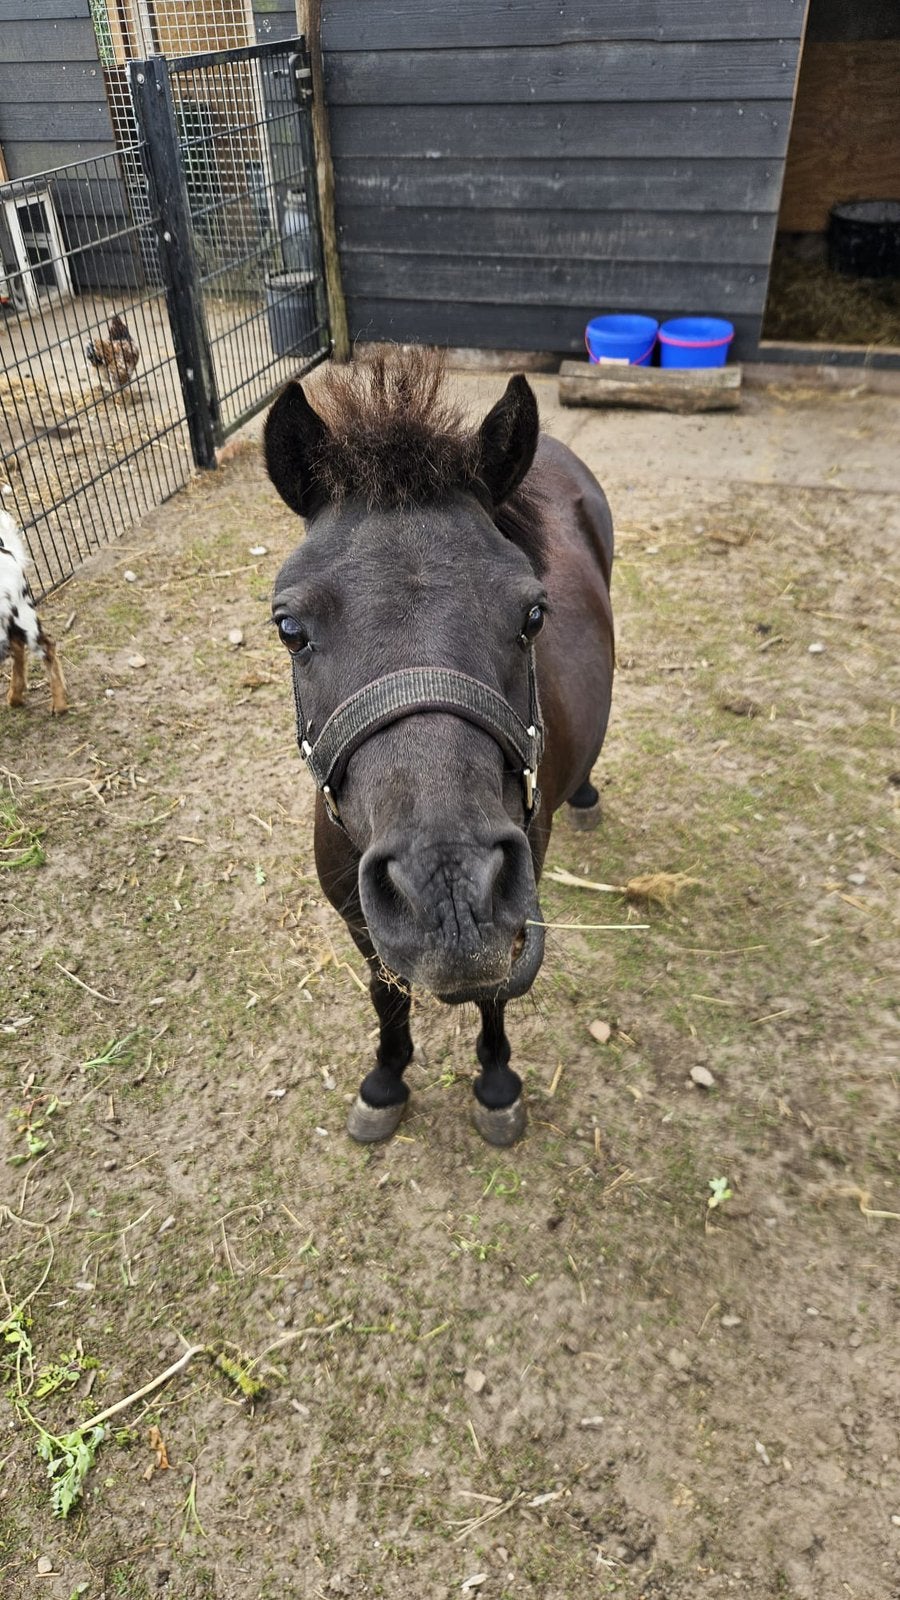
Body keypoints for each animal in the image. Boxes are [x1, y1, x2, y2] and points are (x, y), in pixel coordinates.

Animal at [265, 348, 613, 1146]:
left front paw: (496, 1084)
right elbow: (385, 994)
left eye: (534, 614)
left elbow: (493, 996)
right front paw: (386, 1081)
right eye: (289, 628)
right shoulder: (360, 921)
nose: (448, 886)